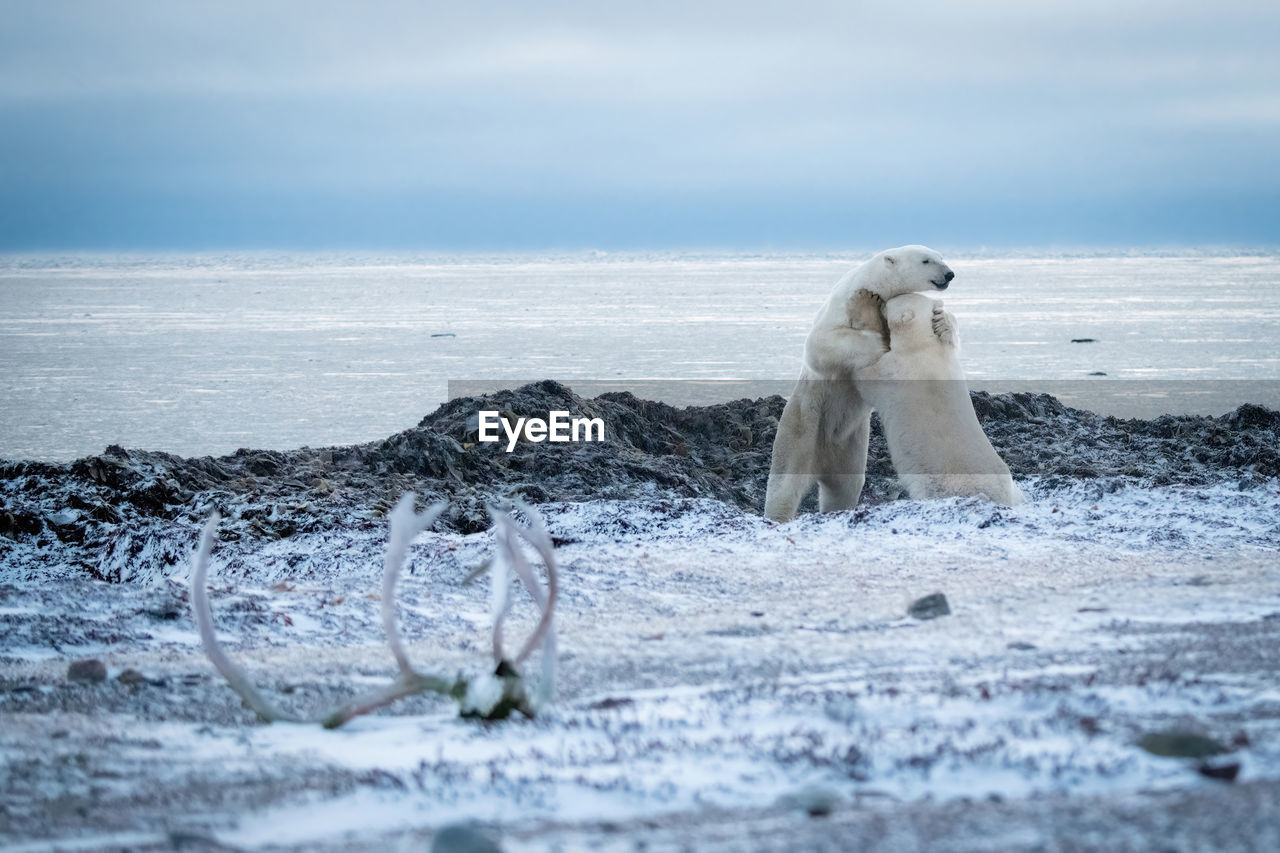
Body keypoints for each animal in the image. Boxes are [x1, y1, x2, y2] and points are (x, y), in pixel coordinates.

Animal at [757, 242, 1018, 522]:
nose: (950, 274)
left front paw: (943, 322)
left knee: (845, 485)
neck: (873, 282)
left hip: (852, 446)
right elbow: (822, 344)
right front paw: (877, 334)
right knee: (785, 485)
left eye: (941, 256)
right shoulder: (837, 310)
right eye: (926, 260)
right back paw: (778, 515)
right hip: (803, 428)